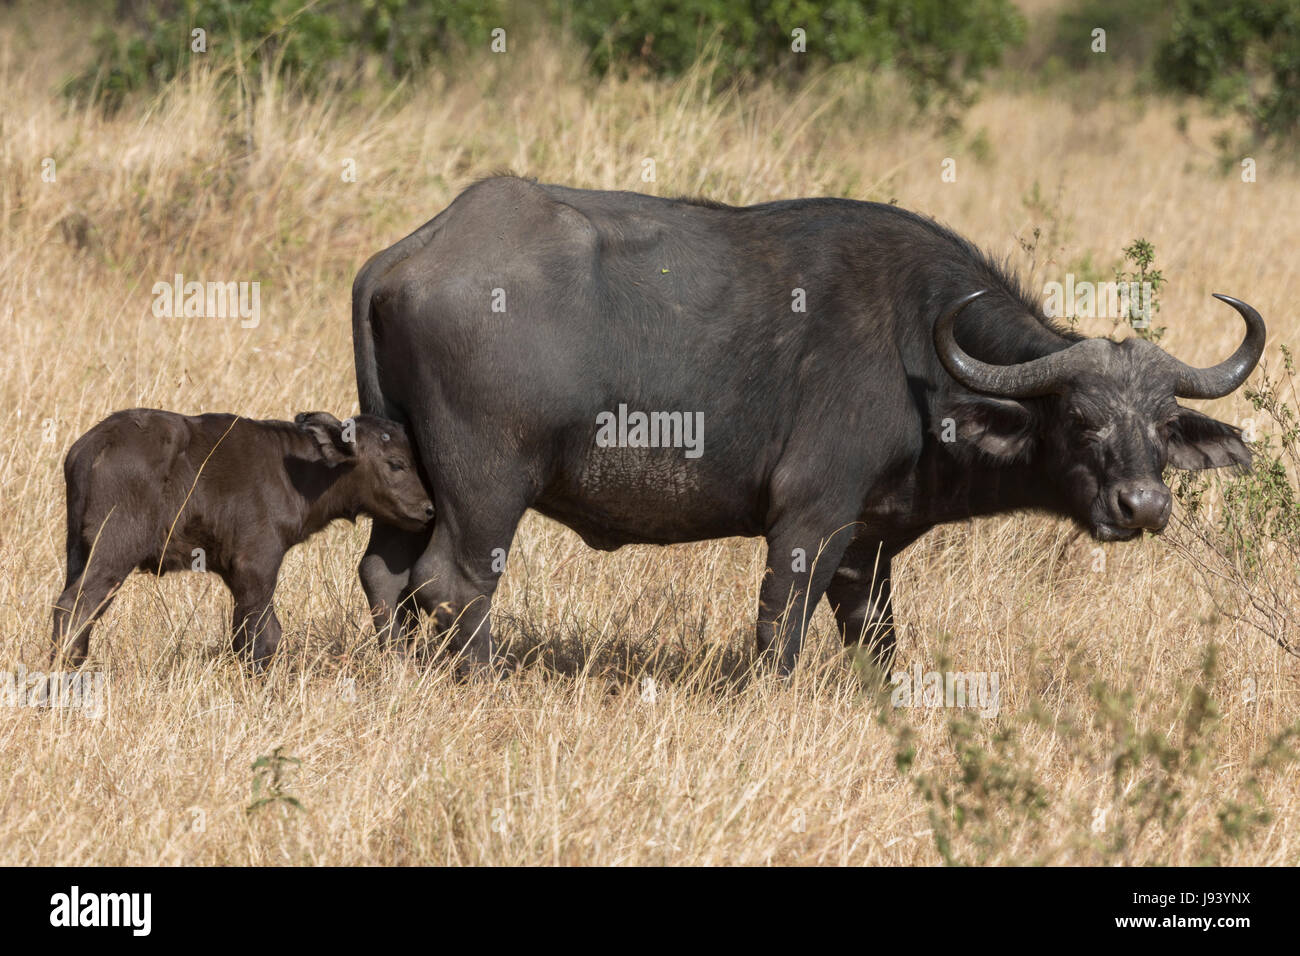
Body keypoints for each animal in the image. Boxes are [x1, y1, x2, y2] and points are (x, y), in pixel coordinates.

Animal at [53, 408, 434, 671]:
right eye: (397, 464)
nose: (428, 509)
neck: (297, 473)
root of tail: (94, 444)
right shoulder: (257, 566)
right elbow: (264, 635)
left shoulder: (235, 574)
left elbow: (244, 633)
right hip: (114, 548)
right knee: (75, 607)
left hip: (78, 551)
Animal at [351, 178, 1263, 671]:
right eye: (1079, 418)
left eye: (1161, 422)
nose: (1143, 507)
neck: (918, 350)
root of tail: (408, 255)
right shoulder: (808, 521)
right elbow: (779, 635)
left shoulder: (870, 546)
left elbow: (877, 642)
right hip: (487, 489)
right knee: (452, 583)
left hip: (407, 477)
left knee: (384, 573)